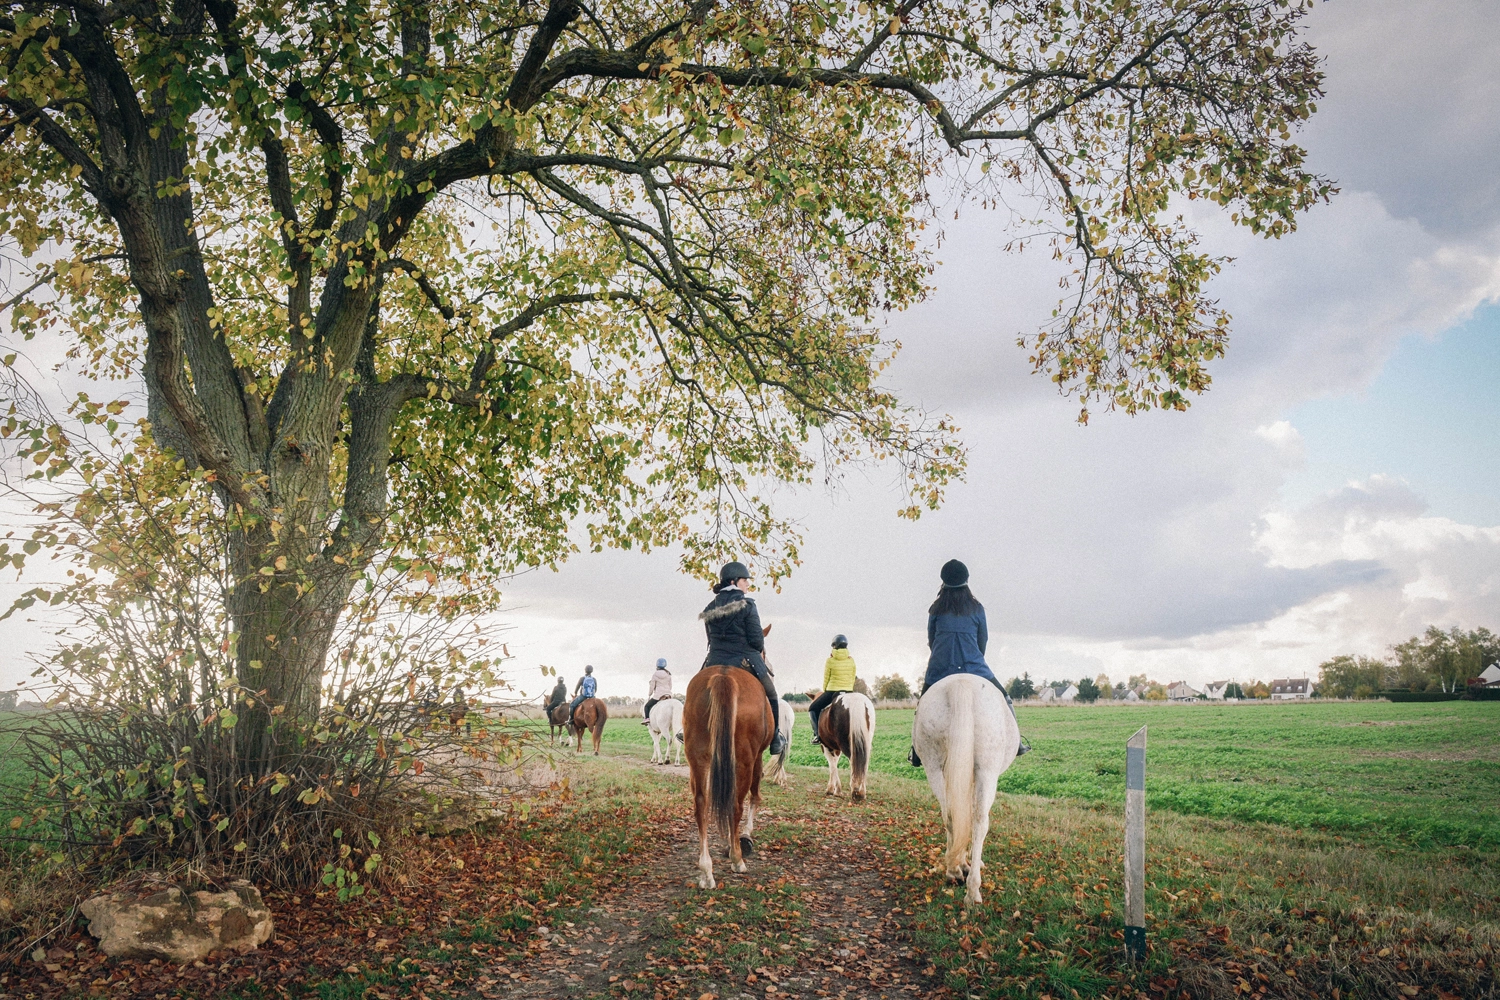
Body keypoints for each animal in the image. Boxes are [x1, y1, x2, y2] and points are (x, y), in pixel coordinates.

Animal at [683, 624, 774, 890]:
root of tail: (723, 676)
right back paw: (737, 860)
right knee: (736, 804)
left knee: (701, 804)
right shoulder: (758, 756)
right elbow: (755, 795)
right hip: (744, 759)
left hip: (698, 759)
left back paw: (706, 871)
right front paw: (745, 837)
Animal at [912, 673, 1020, 907]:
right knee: (980, 823)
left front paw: (961, 864)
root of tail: (960, 683)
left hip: (933, 768)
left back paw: (953, 871)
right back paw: (973, 891)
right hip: (987, 771)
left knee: (950, 816)